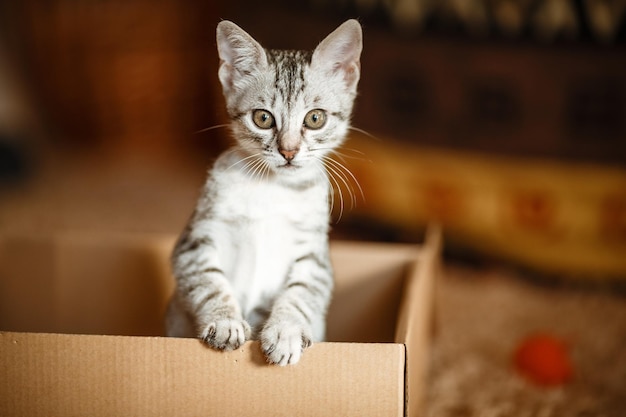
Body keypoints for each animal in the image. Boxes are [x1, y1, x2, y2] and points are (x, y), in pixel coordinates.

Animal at [166, 19, 360, 364]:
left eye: (315, 118)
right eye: (263, 118)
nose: (288, 151)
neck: (273, 188)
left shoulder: (315, 257)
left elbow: (301, 293)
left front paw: (285, 331)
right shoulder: (195, 240)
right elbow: (208, 280)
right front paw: (225, 321)